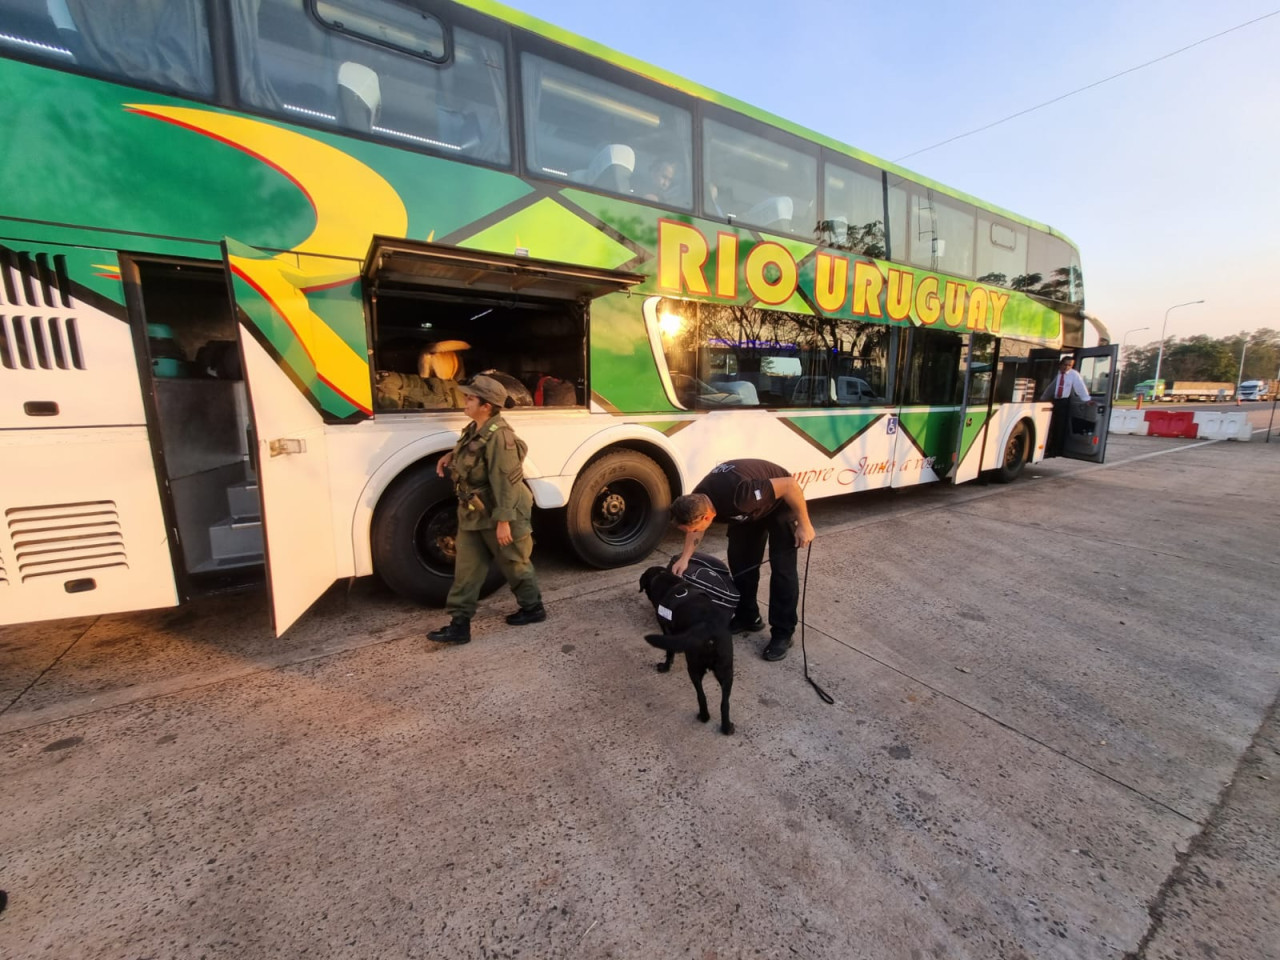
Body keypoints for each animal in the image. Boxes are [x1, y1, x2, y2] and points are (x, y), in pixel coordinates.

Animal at [637, 570, 737, 737]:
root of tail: (707, 628)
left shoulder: (666, 630)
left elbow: (669, 652)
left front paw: (665, 666)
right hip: (727, 671)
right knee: (725, 703)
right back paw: (726, 727)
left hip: (694, 667)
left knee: (701, 696)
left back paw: (704, 717)